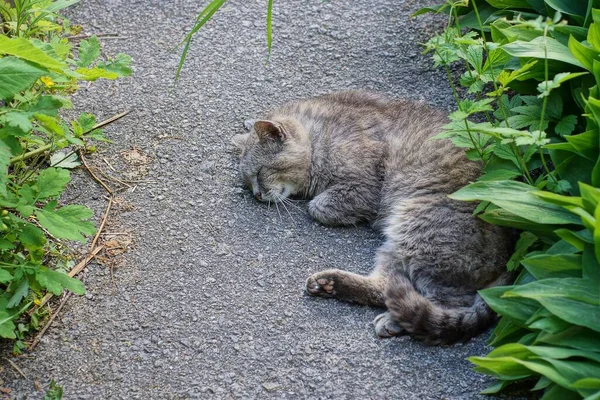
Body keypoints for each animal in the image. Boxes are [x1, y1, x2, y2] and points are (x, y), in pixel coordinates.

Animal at [232, 90, 512, 344]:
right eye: (247, 182)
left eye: (260, 173)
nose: (257, 194)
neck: (321, 135)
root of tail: (509, 261)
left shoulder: (362, 187)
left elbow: (318, 206)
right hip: (399, 245)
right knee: (385, 287)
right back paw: (329, 284)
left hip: (414, 225)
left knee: (445, 304)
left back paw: (393, 320)